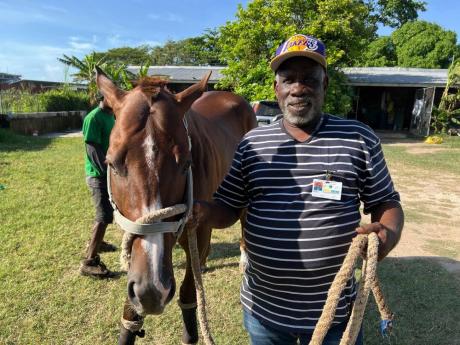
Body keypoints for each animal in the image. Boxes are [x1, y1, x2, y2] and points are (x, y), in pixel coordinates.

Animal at [95, 68, 256, 344]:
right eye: (112, 163)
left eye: (186, 164)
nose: (152, 291)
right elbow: (130, 314)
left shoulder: (197, 232)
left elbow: (189, 297)